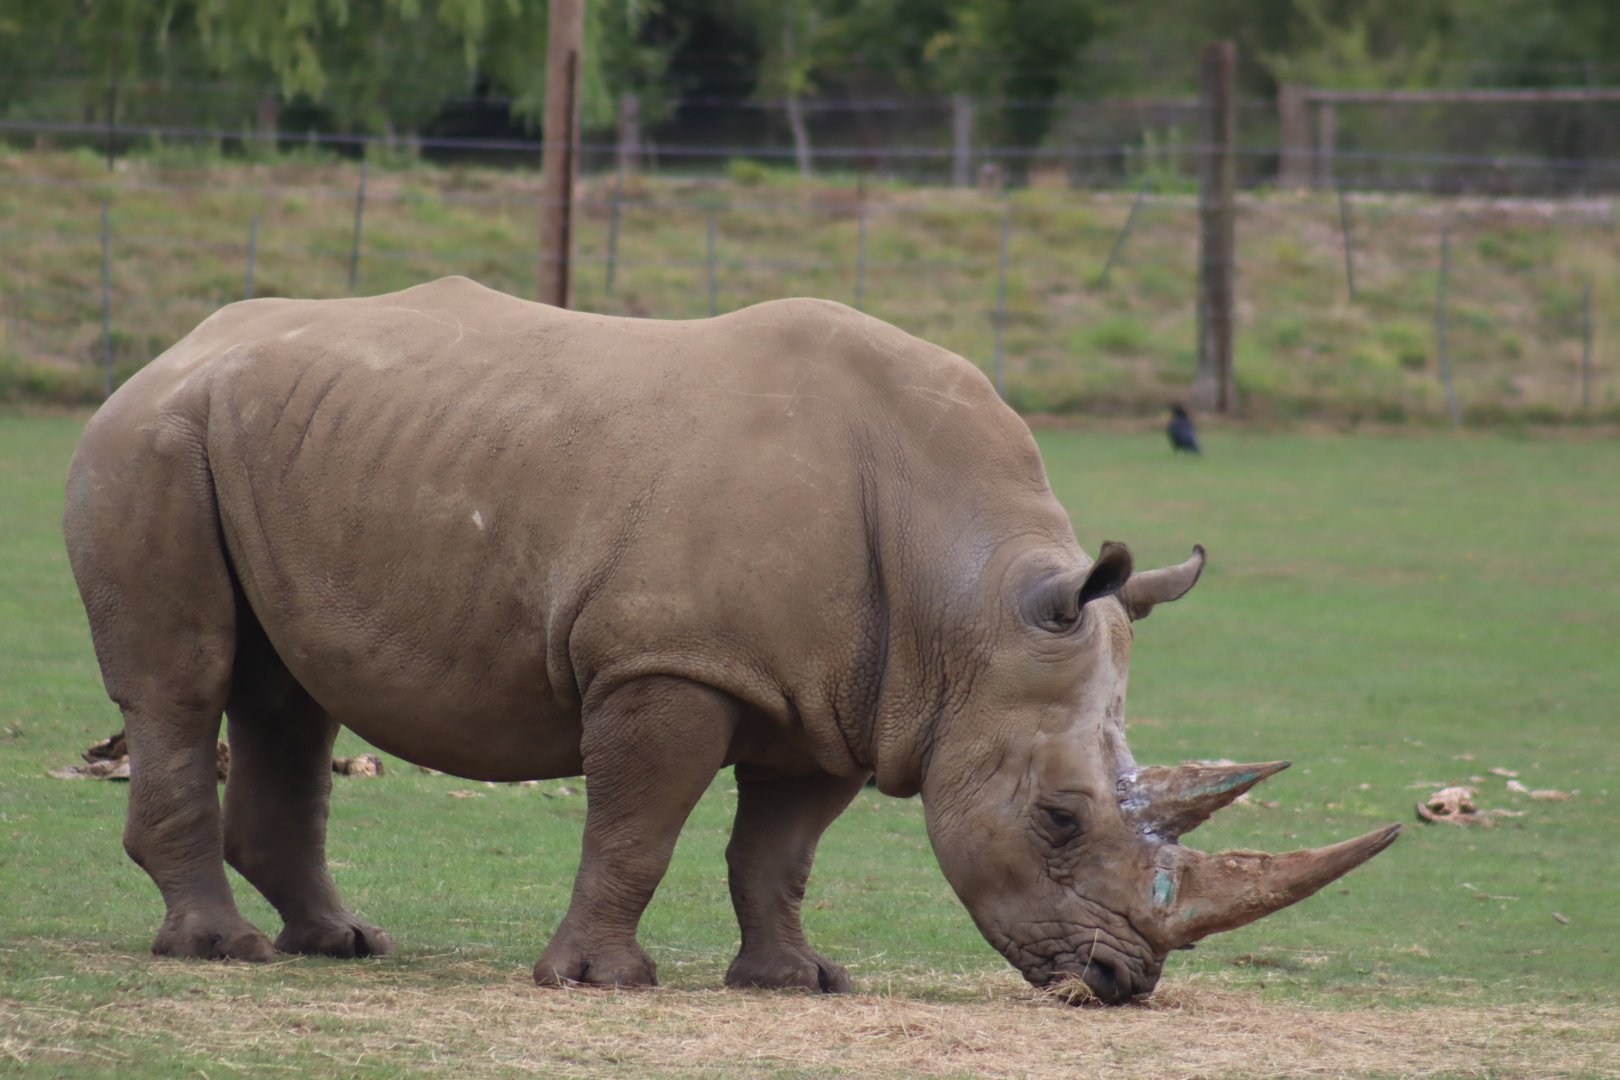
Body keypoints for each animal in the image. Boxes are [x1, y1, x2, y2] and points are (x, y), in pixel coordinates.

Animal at [64, 277, 1398, 1002]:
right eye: (1061, 820)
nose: (1124, 984)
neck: (967, 606)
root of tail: (172, 350)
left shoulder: (850, 696)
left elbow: (779, 851)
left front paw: (800, 981)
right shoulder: (669, 661)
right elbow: (639, 826)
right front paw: (600, 986)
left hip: (271, 444)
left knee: (288, 695)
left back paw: (341, 946)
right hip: (152, 442)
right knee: (183, 683)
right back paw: (222, 954)